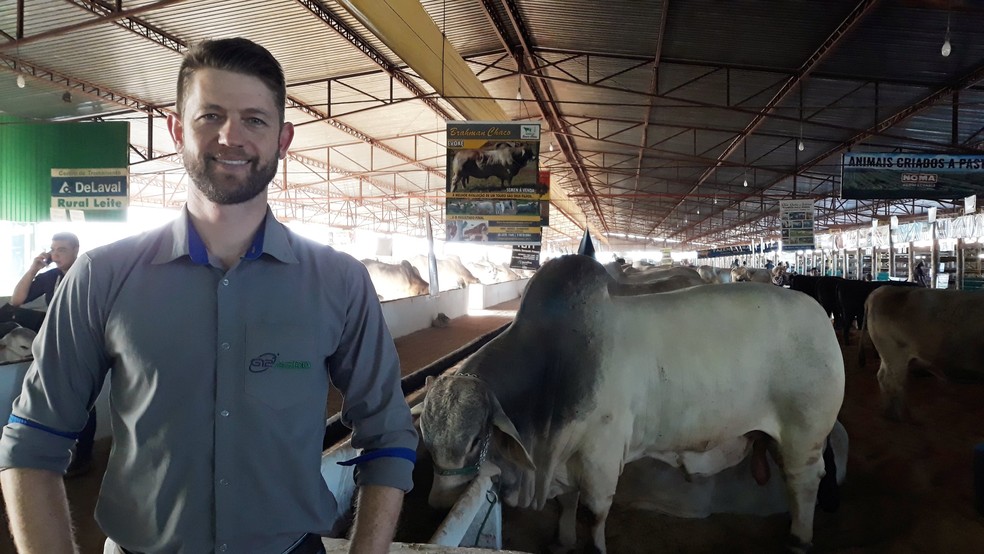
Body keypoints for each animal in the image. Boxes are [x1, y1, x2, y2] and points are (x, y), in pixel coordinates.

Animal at [418, 253, 840, 548]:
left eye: (476, 440)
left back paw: (799, 540)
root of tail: (820, 315)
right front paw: (562, 540)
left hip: (804, 436)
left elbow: (593, 514)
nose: (440, 503)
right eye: (426, 438)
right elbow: (566, 503)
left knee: (803, 483)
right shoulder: (565, 455)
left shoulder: (600, 458)